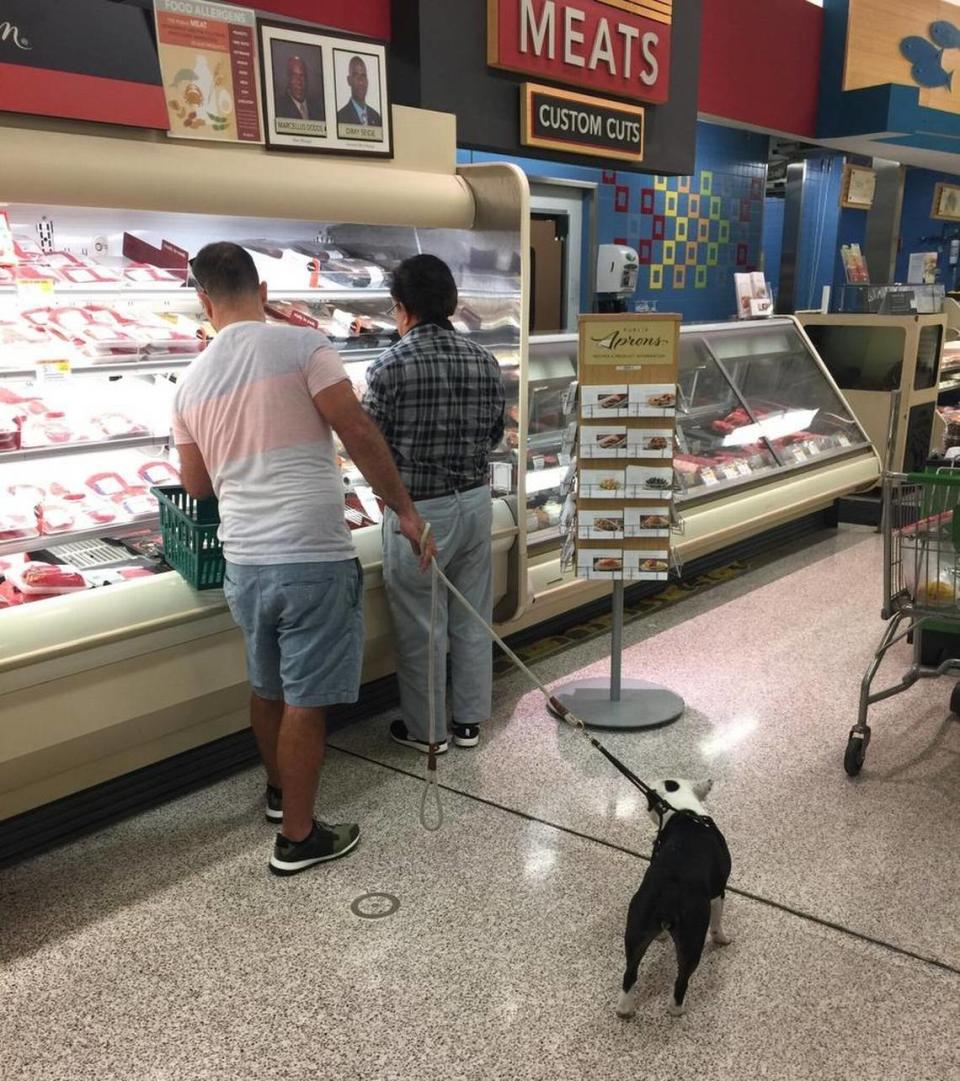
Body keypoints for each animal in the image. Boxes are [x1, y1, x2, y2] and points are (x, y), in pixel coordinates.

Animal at [618, 778, 730, 1020]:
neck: (685, 810)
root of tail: (669, 895)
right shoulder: (718, 893)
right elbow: (717, 924)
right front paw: (722, 939)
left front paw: (661, 937)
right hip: (691, 939)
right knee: (682, 979)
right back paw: (677, 1008)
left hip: (637, 926)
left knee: (630, 972)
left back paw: (624, 1008)